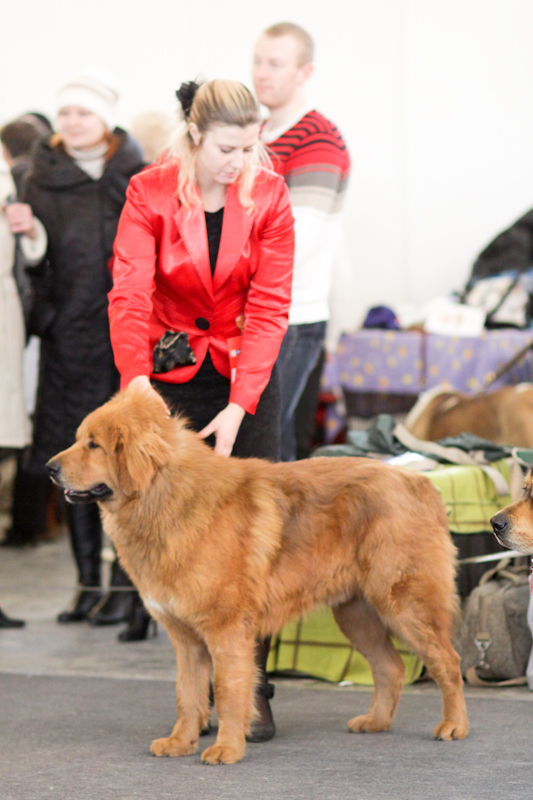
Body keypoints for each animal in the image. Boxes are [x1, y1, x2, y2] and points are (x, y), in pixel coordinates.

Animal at [47, 384, 468, 765]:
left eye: (94, 445)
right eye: (79, 440)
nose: (49, 468)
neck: (167, 498)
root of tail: (418, 483)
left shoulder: (226, 630)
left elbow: (227, 691)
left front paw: (227, 749)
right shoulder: (185, 636)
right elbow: (188, 694)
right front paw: (180, 742)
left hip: (404, 603)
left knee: (448, 662)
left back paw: (454, 726)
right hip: (356, 613)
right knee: (391, 668)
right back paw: (375, 722)